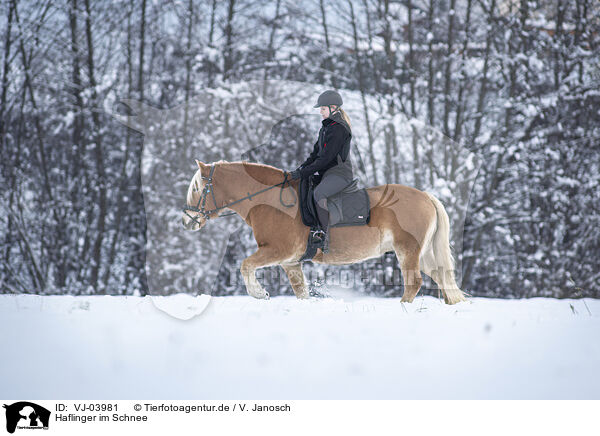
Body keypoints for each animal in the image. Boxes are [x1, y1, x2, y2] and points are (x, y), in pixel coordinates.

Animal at [180, 158, 466, 304]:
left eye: (197, 187)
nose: (187, 221)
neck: (269, 201)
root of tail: (426, 196)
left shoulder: (277, 251)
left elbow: (245, 265)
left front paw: (258, 293)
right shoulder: (290, 262)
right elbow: (301, 292)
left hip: (408, 250)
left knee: (414, 283)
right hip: (423, 254)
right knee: (441, 278)